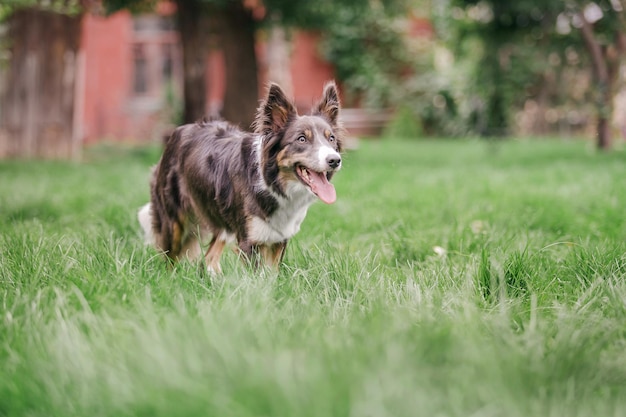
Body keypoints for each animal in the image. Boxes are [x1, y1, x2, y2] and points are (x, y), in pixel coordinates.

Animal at [137, 80, 344, 272]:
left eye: (331, 138)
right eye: (302, 139)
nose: (335, 160)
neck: (272, 181)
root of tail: (178, 131)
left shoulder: (279, 238)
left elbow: (272, 275)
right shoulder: (249, 240)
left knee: (209, 257)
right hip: (173, 221)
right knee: (169, 259)